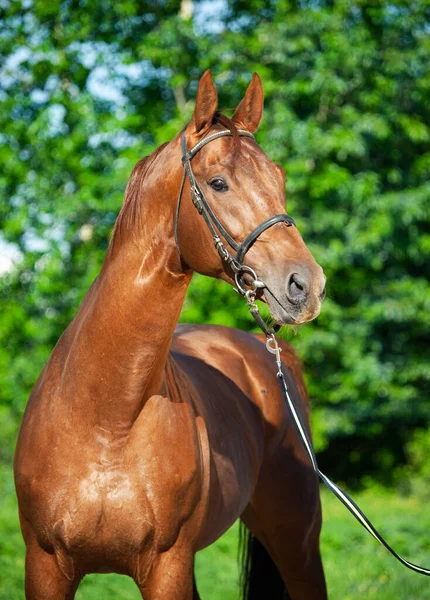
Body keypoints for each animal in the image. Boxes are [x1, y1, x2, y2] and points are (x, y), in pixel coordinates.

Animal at [15, 72, 326, 596]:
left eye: (279, 178)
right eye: (218, 183)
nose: (307, 285)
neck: (106, 422)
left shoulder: (167, 568)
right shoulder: (44, 567)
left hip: (297, 541)